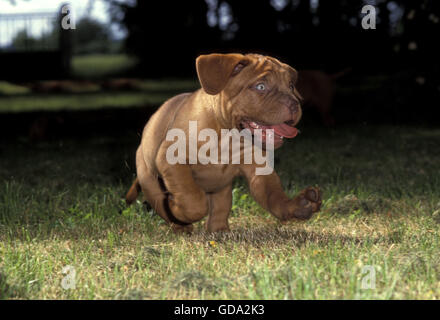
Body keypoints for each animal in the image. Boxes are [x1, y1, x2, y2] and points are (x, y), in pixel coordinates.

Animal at [125, 52, 322, 232]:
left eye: (291, 86)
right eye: (261, 86)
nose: (295, 104)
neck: (228, 137)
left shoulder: (260, 171)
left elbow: (274, 195)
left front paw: (297, 206)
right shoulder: (172, 159)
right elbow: (193, 201)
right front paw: (176, 209)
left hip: (221, 186)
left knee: (220, 206)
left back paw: (219, 230)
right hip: (150, 181)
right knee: (163, 203)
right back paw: (180, 225)